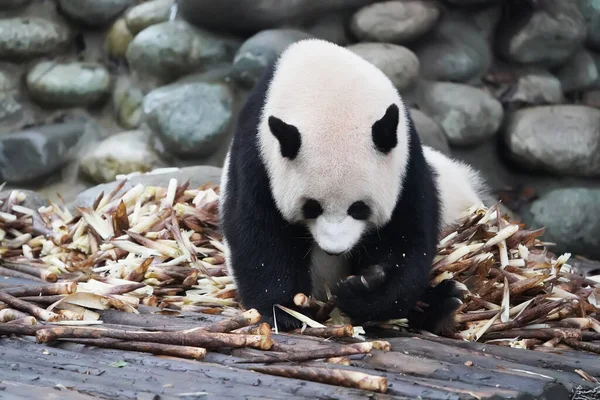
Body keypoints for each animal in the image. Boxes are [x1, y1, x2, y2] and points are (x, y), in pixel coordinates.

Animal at [218, 38, 490, 332]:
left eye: (359, 208)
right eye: (311, 207)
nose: (334, 250)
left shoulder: (406, 161)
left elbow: (406, 236)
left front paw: (363, 290)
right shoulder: (258, 155)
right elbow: (259, 232)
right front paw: (285, 311)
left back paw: (442, 303)